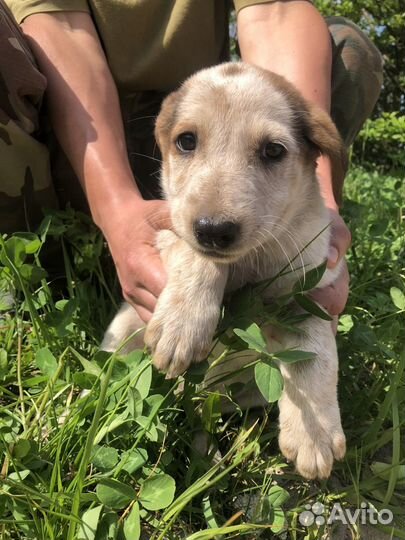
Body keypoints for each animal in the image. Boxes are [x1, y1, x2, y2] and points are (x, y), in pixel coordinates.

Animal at [102, 63, 346, 480]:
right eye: (186, 141)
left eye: (273, 151)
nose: (213, 230)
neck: (246, 263)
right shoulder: (168, 231)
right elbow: (196, 255)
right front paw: (183, 325)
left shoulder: (312, 291)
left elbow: (315, 349)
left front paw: (314, 432)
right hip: (121, 329)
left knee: (206, 412)